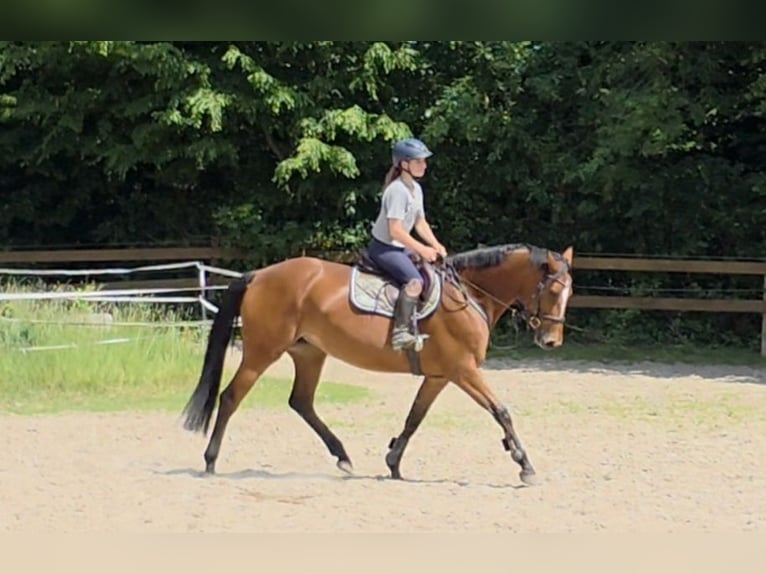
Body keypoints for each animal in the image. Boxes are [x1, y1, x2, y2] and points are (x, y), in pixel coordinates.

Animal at [182, 243, 574, 485]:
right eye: (555, 290)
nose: (552, 341)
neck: (468, 295)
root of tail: (259, 275)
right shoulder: (463, 370)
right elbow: (501, 411)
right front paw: (525, 465)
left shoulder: (439, 376)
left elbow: (415, 418)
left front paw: (394, 462)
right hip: (262, 352)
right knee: (231, 397)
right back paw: (211, 460)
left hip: (309, 353)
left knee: (301, 402)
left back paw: (343, 457)